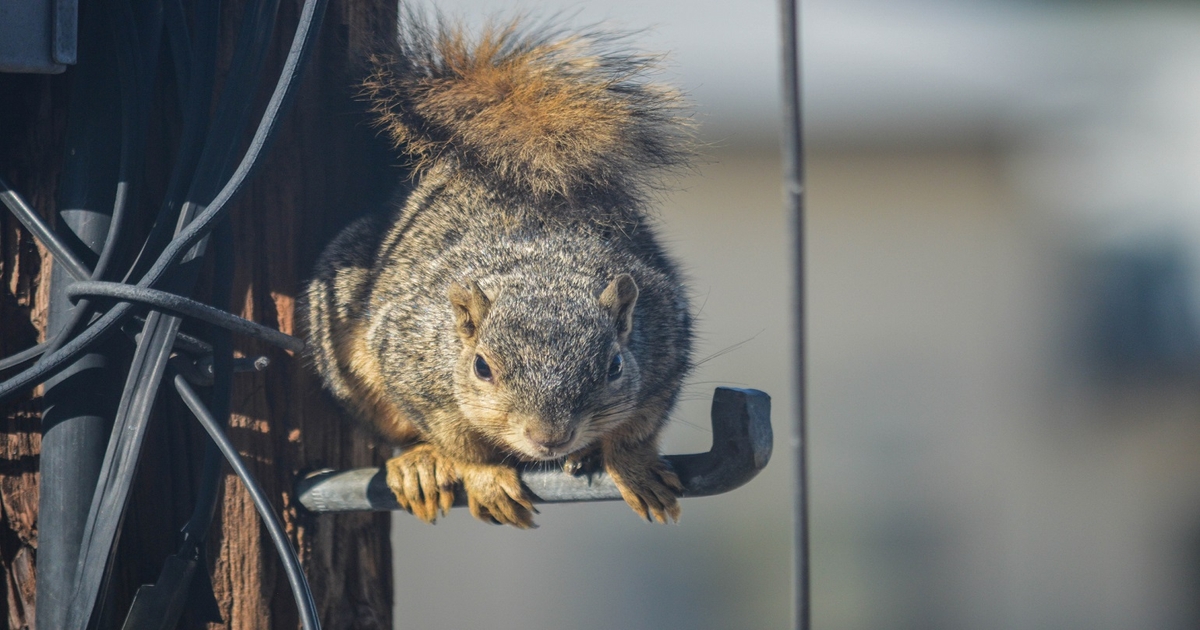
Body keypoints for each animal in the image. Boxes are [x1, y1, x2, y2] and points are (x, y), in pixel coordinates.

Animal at [300, 11, 694, 528]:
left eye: (614, 366)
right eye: (481, 367)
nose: (550, 438)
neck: (544, 271)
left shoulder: (664, 343)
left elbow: (638, 428)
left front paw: (633, 467)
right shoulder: (411, 361)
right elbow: (458, 440)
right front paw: (485, 478)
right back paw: (419, 465)